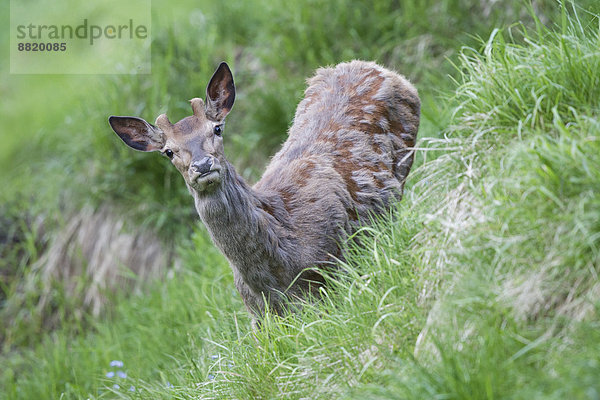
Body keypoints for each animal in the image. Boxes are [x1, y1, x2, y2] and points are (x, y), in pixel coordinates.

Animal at [109, 61, 418, 324]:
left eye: (217, 128)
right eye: (168, 151)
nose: (202, 165)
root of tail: (375, 67)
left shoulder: (338, 265)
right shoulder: (258, 316)